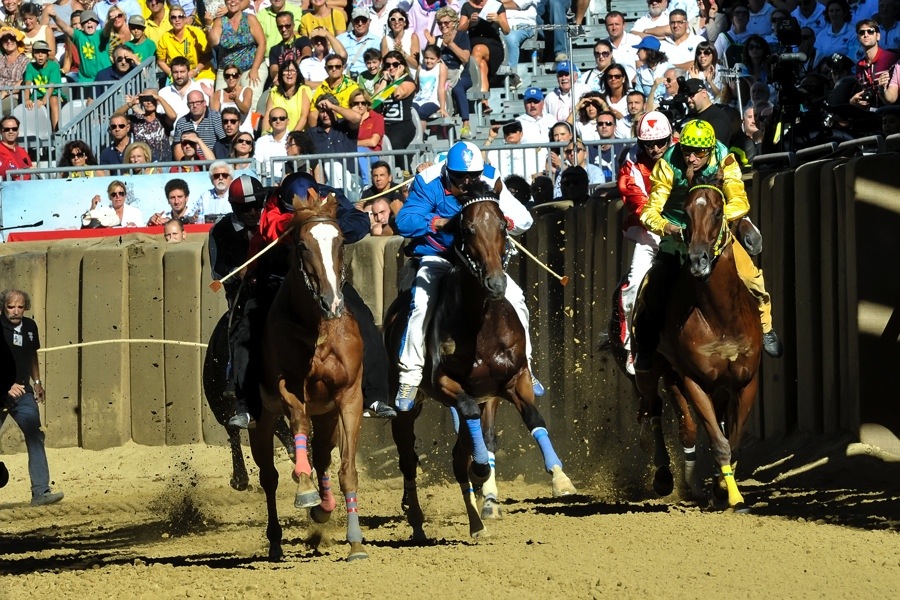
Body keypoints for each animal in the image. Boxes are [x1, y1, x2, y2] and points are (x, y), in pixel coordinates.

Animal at [248, 189, 368, 564]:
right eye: (301, 246)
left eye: (340, 241)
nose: (333, 301)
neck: (318, 329)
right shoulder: (288, 389)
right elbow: (298, 425)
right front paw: (304, 489)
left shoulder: (349, 398)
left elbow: (347, 471)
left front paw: (356, 542)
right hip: (262, 420)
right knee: (269, 476)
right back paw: (276, 542)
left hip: (327, 414)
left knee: (324, 457)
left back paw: (325, 507)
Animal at [384, 178, 572, 540]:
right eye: (467, 228)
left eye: (502, 225)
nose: (496, 283)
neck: (481, 327)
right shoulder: (445, 384)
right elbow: (469, 424)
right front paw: (482, 470)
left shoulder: (512, 380)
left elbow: (533, 418)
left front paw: (560, 478)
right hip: (407, 403)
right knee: (409, 456)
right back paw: (419, 517)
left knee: (461, 455)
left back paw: (476, 520)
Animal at [612, 170, 760, 510]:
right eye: (688, 214)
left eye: (718, 212)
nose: (697, 260)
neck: (721, 317)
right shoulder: (694, 379)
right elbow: (718, 441)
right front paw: (731, 494)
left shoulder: (744, 380)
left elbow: (732, 440)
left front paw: (723, 487)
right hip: (651, 368)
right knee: (655, 411)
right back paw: (664, 476)